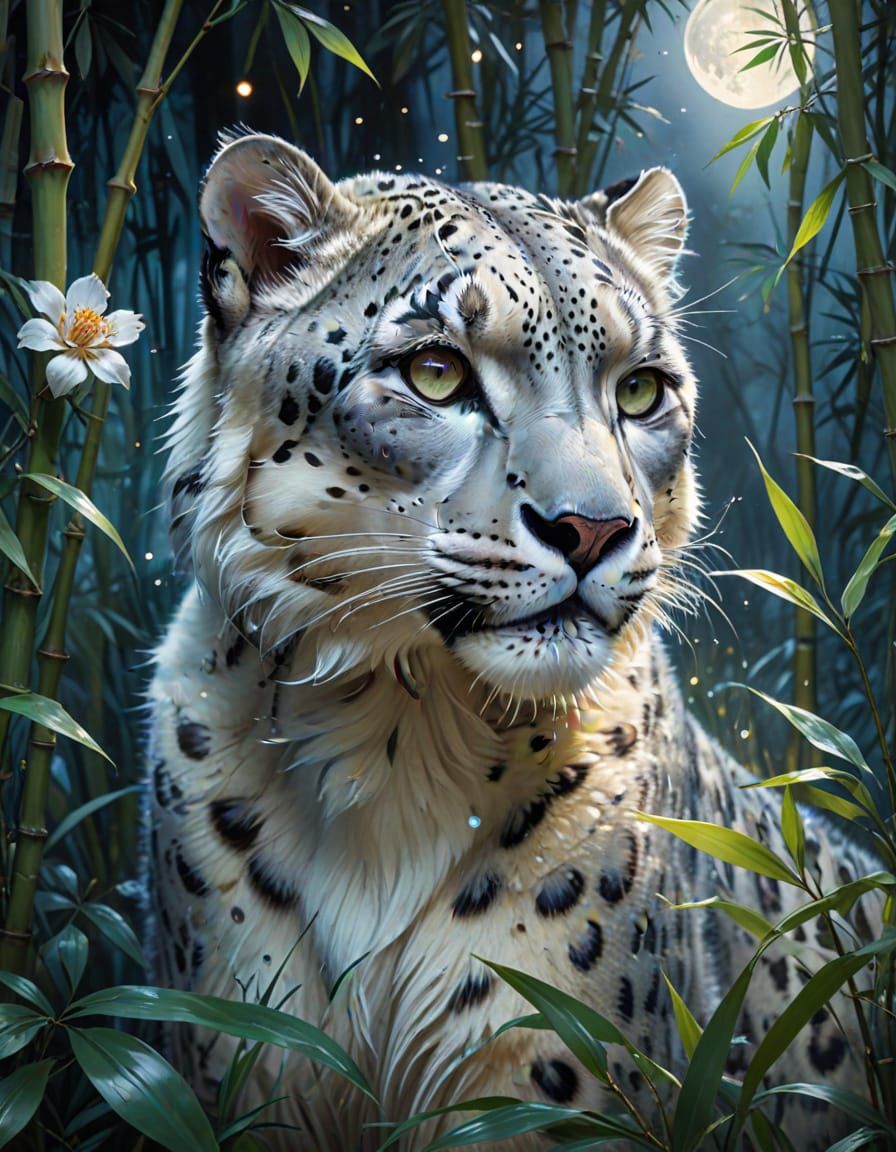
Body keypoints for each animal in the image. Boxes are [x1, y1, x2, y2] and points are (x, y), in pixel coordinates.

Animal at [148, 131, 880, 1151]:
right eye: (436, 372)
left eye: (640, 390)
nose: (592, 529)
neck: (389, 741)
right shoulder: (238, 1057)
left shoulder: (546, 1073)